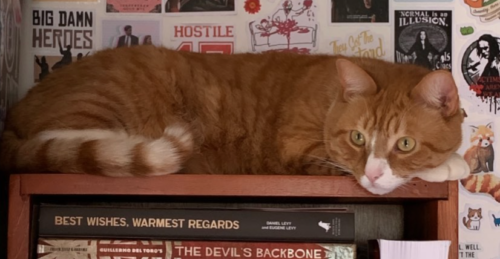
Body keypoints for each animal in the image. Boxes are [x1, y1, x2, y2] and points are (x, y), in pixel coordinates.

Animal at [0, 45, 468, 195]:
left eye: (404, 143)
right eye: (357, 138)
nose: (371, 174)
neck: (328, 100)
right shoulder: (300, 149)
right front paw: (449, 165)